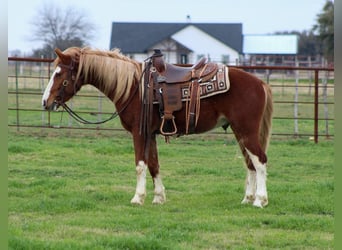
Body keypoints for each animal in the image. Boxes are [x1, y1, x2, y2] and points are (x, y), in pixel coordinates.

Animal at [42, 47, 272, 207]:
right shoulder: (150, 134)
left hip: (246, 131)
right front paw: (159, 197)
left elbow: (140, 165)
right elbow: (154, 164)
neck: (134, 87)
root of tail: (260, 83)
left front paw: (137, 198)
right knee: (250, 163)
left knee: (259, 161)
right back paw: (247, 198)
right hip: (239, 132)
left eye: (59, 74)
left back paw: (260, 200)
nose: (45, 101)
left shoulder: (139, 133)